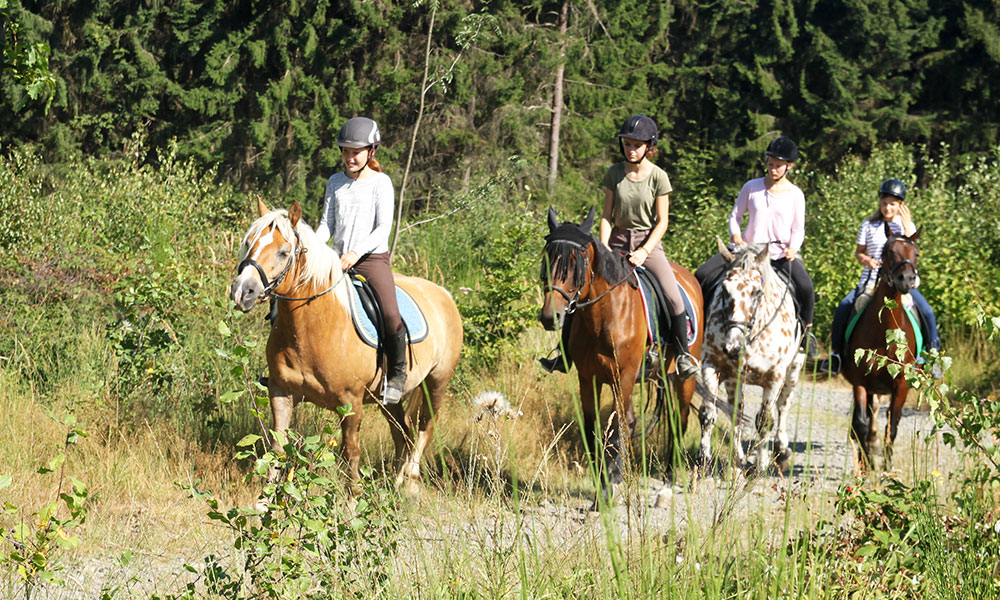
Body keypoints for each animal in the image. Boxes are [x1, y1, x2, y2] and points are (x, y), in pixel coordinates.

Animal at [229, 199, 462, 494]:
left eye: (283, 252)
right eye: (249, 243)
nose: (241, 291)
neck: (314, 327)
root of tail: (444, 294)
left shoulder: (350, 403)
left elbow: (350, 452)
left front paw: (352, 501)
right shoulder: (281, 392)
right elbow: (277, 448)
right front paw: (265, 500)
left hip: (437, 382)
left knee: (424, 428)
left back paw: (409, 480)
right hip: (388, 399)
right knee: (402, 432)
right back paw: (393, 483)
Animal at [540, 209, 704, 504]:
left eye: (575, 264)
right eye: (547, 259)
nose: (550, 317)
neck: (604, 316)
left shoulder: (623, 377)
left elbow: (618, 428)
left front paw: (608, 487)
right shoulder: (588, 379)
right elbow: (594, 429)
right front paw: (601, 481)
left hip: (682, 379)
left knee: (680, 419)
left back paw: (671, 476)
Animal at [700, 239, 808, 474]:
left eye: (757, 292)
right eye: (724, 290)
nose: (733, 346)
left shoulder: (774, 378)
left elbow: (765, 420)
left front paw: (761, 463)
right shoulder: (714, 367)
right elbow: (711, 413)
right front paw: (705, 458)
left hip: (794, 370)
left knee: (783, 407)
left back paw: (781, 450)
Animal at [844, 223, 920, 472]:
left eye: (916, 254)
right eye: (888, 251)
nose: (906, 279)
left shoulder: (901, 385)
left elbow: (892, 425)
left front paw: (887, 467)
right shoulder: (860, 381)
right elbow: (861, 423)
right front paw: (868, 464)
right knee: (862, 423)